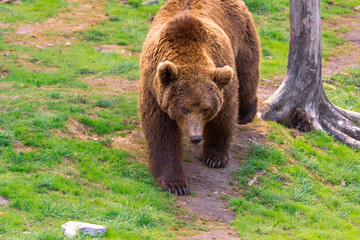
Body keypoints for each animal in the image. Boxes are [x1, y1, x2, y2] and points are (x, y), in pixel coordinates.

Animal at [138, 0, 258, 195]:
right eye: (183, 108)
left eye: (206, 109)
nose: (195, 137)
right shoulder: (154, 88)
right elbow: (161, 132)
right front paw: (176, 184)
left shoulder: (221, 74)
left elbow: (224, 115)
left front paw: (214, 158)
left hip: (243, 36)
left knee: (247, 78)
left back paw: (246, 114)